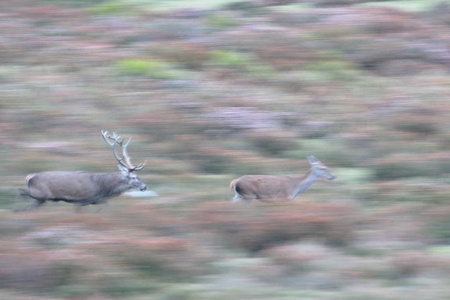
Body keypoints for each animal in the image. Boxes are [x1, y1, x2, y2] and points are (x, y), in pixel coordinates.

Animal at [17, 131, 148, 211]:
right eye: (133, 177)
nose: (145, 187)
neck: (101, 187)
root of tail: (29, 177)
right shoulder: (81, 199)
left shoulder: (96, 200)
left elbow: (103, 207)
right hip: (40, 193)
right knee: (21, 191)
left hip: (41, 199)